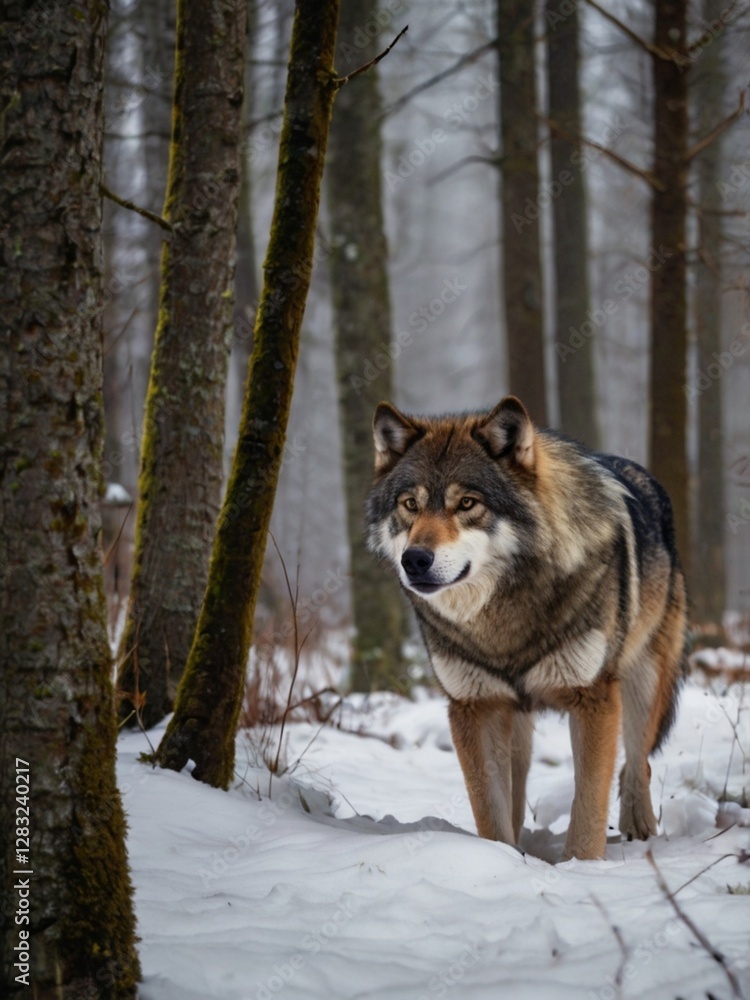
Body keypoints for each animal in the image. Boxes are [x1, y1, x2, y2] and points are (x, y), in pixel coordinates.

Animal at [366, 396, 688, 860]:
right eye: (410, 504)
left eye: (467, 503)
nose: (415, 560)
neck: (503, 622)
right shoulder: (474, 707)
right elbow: (490, 811)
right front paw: (501, 860)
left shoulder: (594, 699)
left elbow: (588, 806)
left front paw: (582, 866)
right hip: (514, 719)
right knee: (518, 795)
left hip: (643, 684)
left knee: (637, 760)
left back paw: (640, 826)